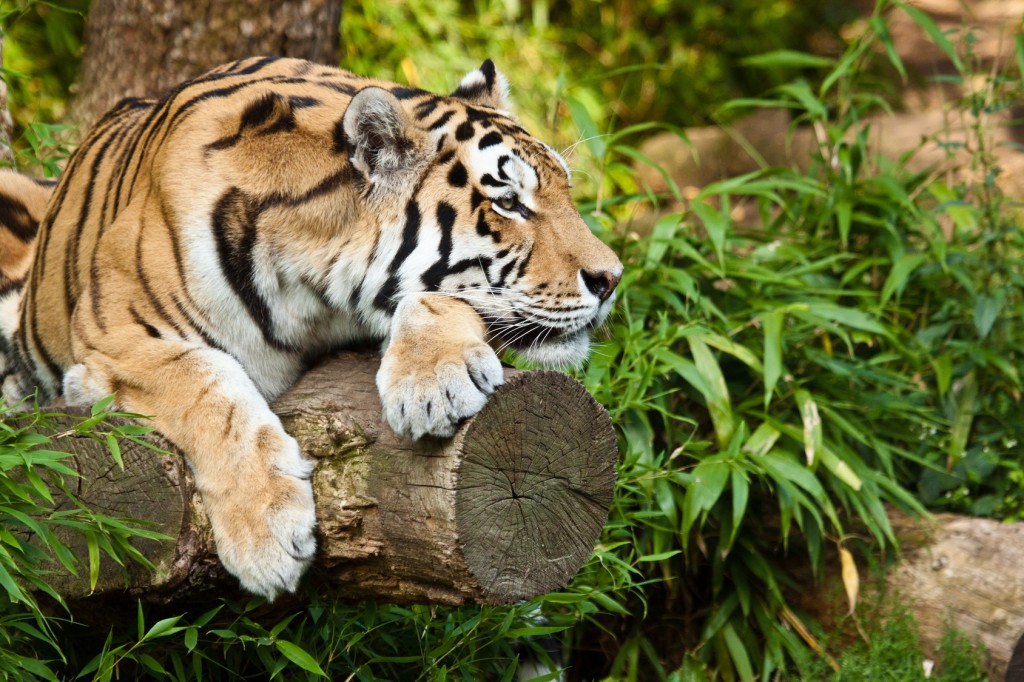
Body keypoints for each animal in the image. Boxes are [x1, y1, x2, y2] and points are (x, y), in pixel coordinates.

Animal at [0, 56, 622, 600]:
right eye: (509, 202)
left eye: (565, 190)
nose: (612, 278)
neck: (316, 291)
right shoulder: (113, 340)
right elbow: (207, 385)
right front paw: (269, 537)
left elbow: (446, 298)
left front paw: (434, 384)